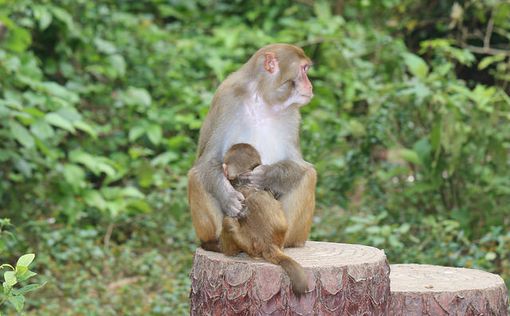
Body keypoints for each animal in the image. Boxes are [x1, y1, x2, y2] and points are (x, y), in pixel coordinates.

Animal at [187, 42, 314, 249]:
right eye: (304, 69)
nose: (310, 85)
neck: (263, 99)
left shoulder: (293, 114)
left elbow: (299, 164)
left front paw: (265, 175)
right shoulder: (225, 98)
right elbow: (207, 160)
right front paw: (228, 198)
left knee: (308, 175)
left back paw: (287, 242)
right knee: (196, 176)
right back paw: (215, 243)